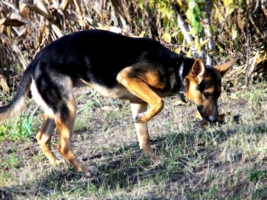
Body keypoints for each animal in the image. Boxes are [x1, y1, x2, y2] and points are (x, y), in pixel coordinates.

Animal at [0, 29, 239, 175]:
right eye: (207, 94)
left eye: (217, 95)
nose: (215, 119)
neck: (177, 68)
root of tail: (34, 62)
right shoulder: (128, 77)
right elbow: (159, 104)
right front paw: (143, 120)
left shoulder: (139, 101)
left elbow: (144, 138)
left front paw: (155, 160)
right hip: (68, 108)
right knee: (63, 145)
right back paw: (85, 170)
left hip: (56, 108)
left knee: (42, 137)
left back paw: (58, 164)